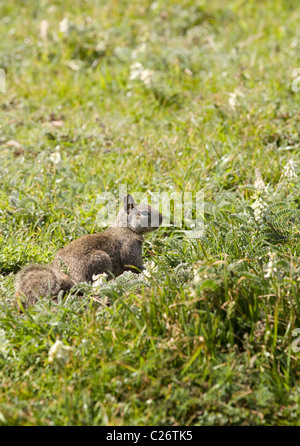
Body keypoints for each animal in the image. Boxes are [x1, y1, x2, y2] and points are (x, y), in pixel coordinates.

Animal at [15, 195, 163, 306]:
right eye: (144, 213)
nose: (162, 218)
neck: (126, 228)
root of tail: (71, 278)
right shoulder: (129, 247)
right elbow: (133, 264)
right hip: (101, 261)